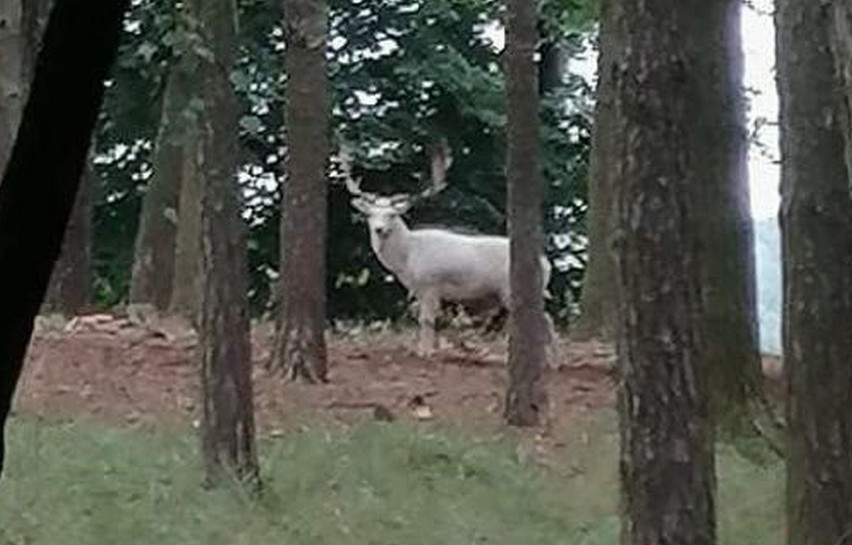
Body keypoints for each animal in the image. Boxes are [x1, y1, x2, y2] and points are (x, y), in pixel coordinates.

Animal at [342, 138, 556, 354]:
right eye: (370, 214)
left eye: (392, 214)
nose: (379, 229)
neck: (408, 257)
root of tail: (547, 264)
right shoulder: (418, 289)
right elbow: (423, 320)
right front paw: (423, 349)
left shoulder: (431, 284)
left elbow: (427, 320)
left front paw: (426, 352)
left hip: (512, 289)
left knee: (544, 320)